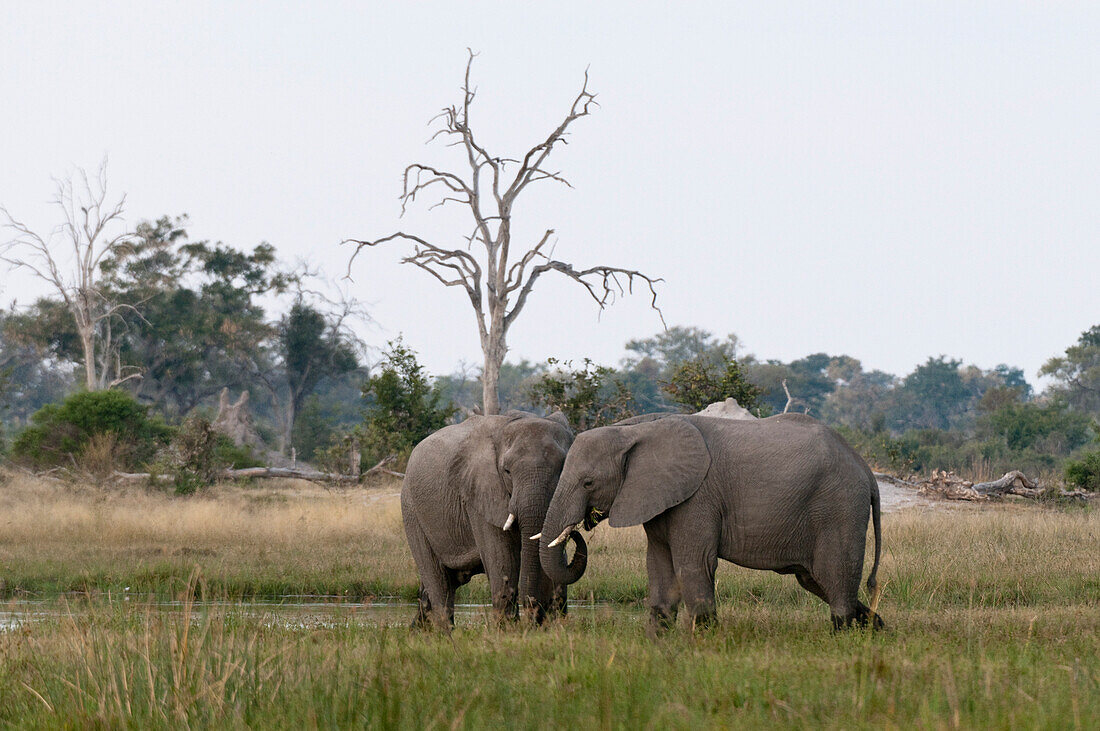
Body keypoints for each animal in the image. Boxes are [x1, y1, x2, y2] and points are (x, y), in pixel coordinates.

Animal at [404, 406, 589, 628]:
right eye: (507, 471)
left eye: (563, 467)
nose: (534, 616)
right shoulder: (480, 494)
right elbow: (503, 560)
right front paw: (508, 630)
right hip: (411, 511)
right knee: (438, 583)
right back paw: (444, 632)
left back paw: (418, 630)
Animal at [541, 411, 884, 633]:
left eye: (588, 483)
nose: (578, 528)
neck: (635, 429)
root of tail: (867, 472)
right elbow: (659, 566)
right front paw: (658, 641)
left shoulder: (697, 498)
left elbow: (693, 564)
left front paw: (704, 641)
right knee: (813, 579)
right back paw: (875, 627)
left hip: (839, 506)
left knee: (834, 575)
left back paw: (843, 634)